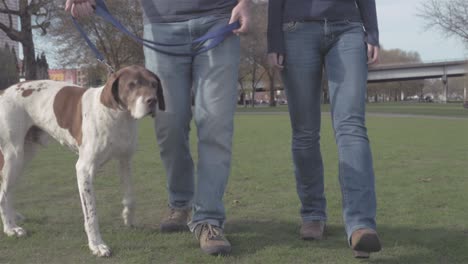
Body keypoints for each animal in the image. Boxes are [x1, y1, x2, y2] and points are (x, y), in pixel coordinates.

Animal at [0, 65, 166, 256]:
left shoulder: (125, 160)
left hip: (24, 155)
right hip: (13, 156)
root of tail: (3, 91)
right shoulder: (84, 169)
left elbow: (130, 197)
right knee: (3, 193)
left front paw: (128, 218)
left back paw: (13, 217)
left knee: (9, 189)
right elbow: (91, 214)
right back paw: (10, 228)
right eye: (132, 85)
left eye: (154, 84)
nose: (152, 101)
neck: (118, 116)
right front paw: (96, 245)